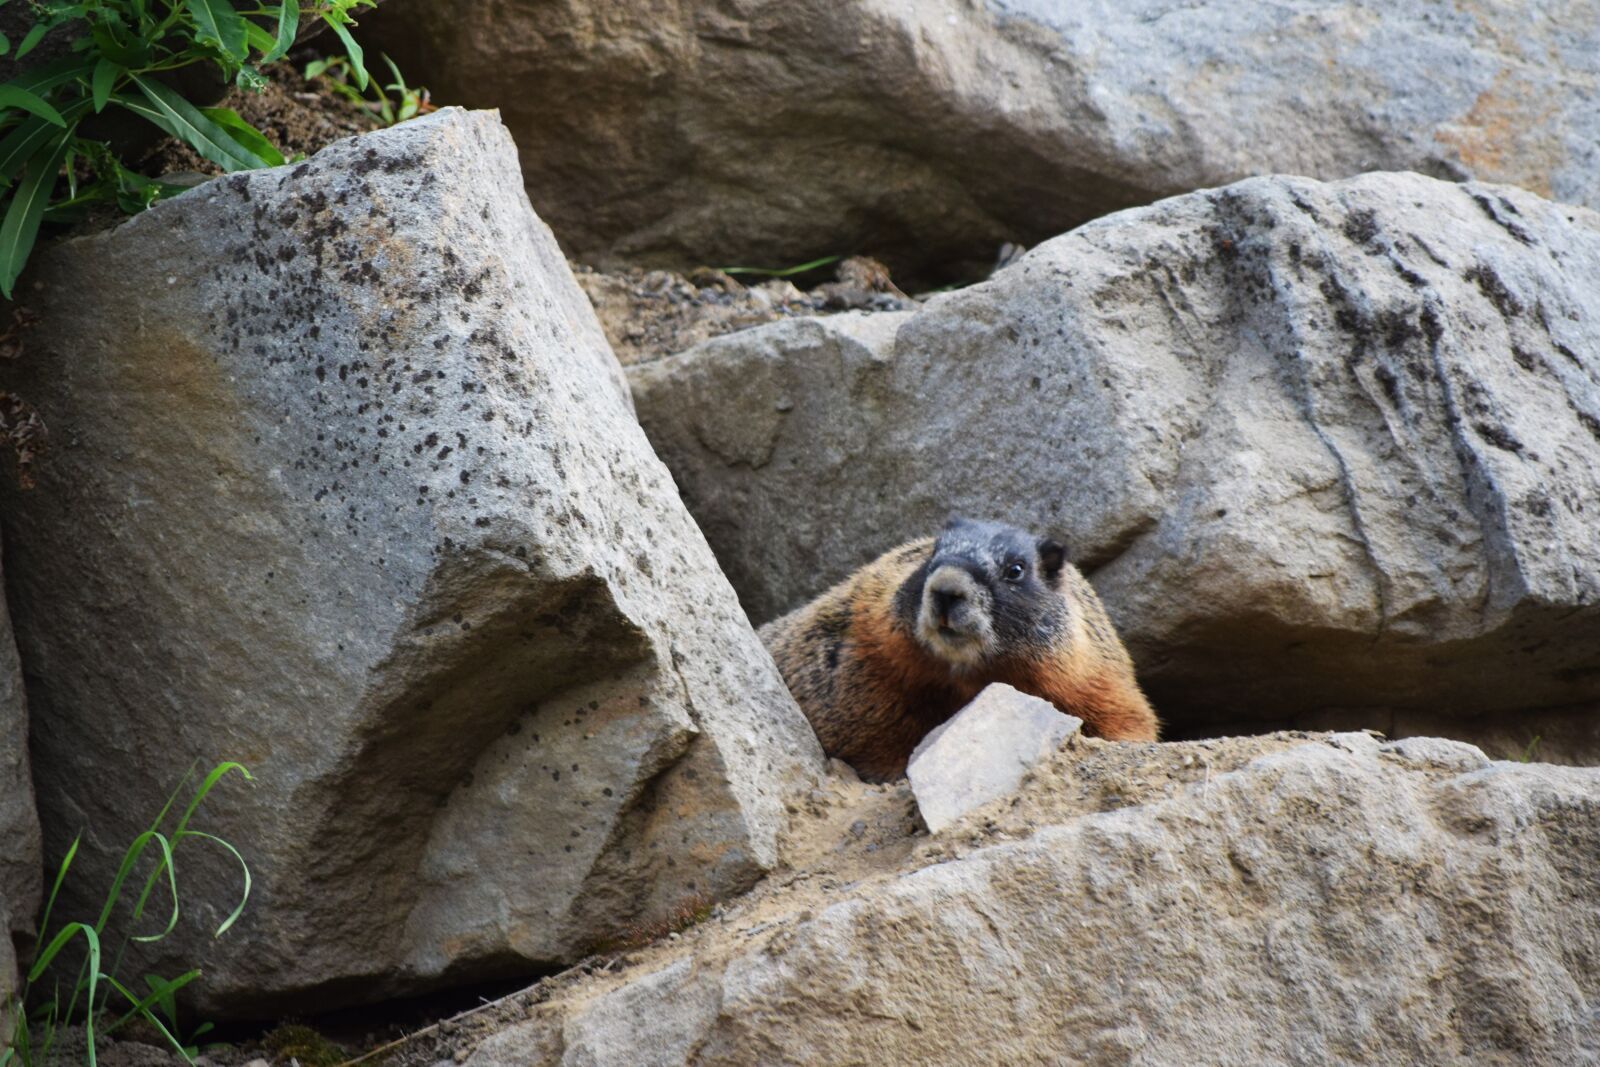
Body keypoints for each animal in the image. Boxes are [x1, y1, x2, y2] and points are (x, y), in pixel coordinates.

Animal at [760, 517, 1159, 781]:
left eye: (1016, 569)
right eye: (932, 553)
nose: (946, 589)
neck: (966, 677)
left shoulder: (1093, 676)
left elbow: (1124, 715)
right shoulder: (862, 669)